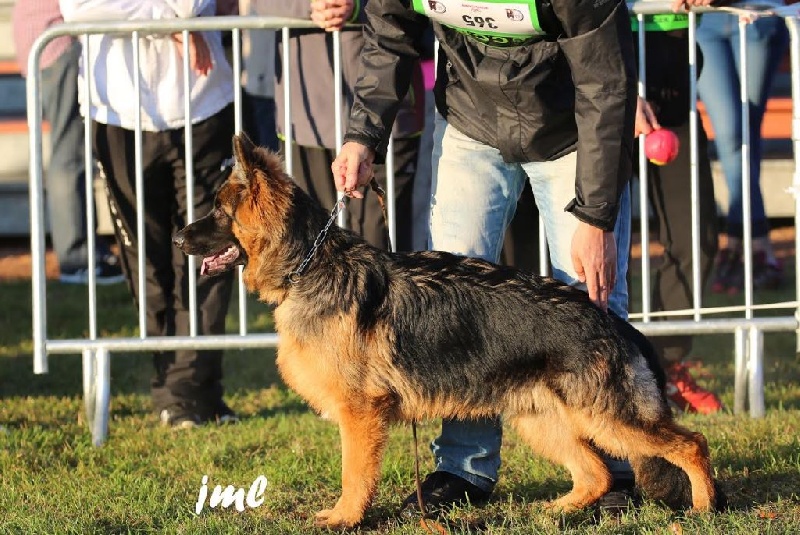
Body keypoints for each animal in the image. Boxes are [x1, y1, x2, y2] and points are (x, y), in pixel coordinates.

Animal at [173, 134, 720, 528]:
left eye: (218, 212)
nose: (178, 237)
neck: (310, 264)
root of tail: (616, 324)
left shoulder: (360, 414)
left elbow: (355, 474)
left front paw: (346, 518)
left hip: (605, 418)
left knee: (689, 444)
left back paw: (703, 508)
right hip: (542, 419)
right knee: (598, 472)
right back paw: (561, 510)